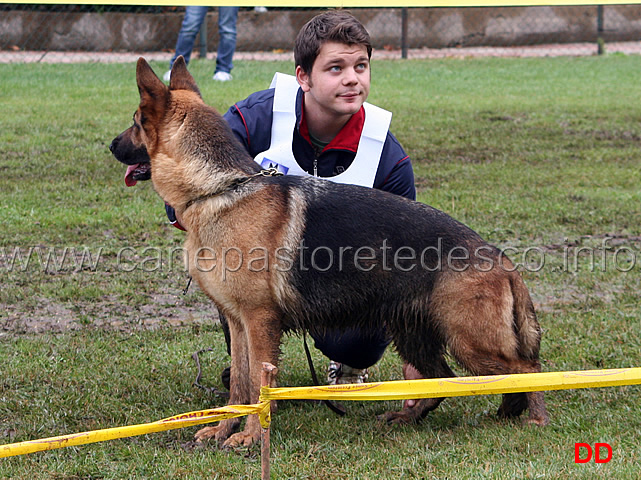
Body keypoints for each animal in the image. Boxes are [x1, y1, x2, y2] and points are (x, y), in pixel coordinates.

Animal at [110, 58, 552, 448]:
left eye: (135, 120)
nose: (111, 145)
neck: (221, 188)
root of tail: (502, 260)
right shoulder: (237, 323)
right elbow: (239, 384)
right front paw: (223, 429)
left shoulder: (259, 322)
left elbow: (258, 387)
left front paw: (250, 438)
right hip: (417, 334)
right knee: (443, 378)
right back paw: (415, 415)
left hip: (469, 340)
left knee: (528, 369)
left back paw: (533, 418)